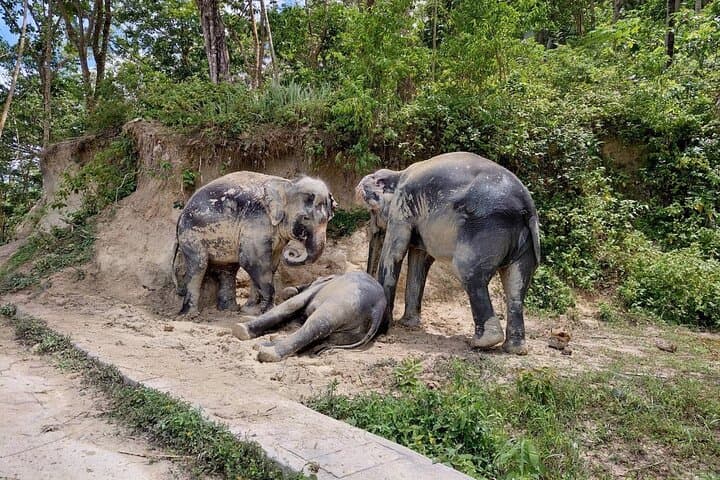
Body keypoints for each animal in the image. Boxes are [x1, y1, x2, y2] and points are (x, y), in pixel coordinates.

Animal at [172, 171, 336, 315]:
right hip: (191, 235)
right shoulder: (256, 220)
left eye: (328, 218)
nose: (292, 252)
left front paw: (251, 310)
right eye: (305, 218)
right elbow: (253, 261)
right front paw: (267, 310)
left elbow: (270, 265)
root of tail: (180, 215)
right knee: (199, 265)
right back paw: (190, 315)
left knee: (228, 269)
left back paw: (229, 310)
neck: (287, 184)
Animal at [231, 271, 386, 362]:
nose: (293, 288)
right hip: (354, 330)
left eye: (315, 279)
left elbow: (291, 304)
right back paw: (265, 344)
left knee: (317, 325)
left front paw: (241, 328)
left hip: (344, 303)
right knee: (322, 338)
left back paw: (267, 352)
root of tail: (378, 309)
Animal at [356, 152, 540, 355]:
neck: (398, 174)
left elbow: (394, 253)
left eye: (372, 212)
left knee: (470, 274)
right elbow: (420, 260)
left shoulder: (401, 208)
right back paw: (514, 349)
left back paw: (481, 343)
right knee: (516, 286)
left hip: (485, 230)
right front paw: (408, 324)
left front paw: (386, 330)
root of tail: (527, 207)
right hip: (526, 243)